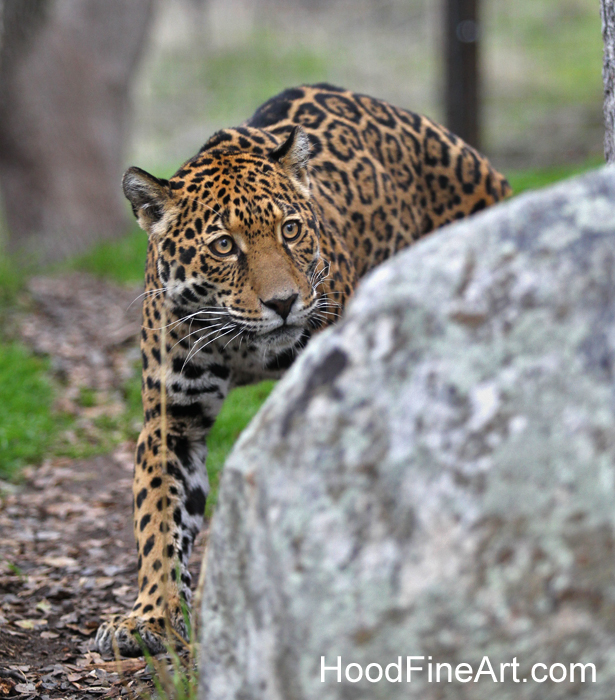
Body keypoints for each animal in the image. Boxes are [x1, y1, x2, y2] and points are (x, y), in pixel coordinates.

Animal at [96, 83, 510, 657]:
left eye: (290, 230)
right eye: (224, 245)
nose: (284, 302)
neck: (244, 347)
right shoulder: (171, 422)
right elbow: (156, 520)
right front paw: (148, 618)